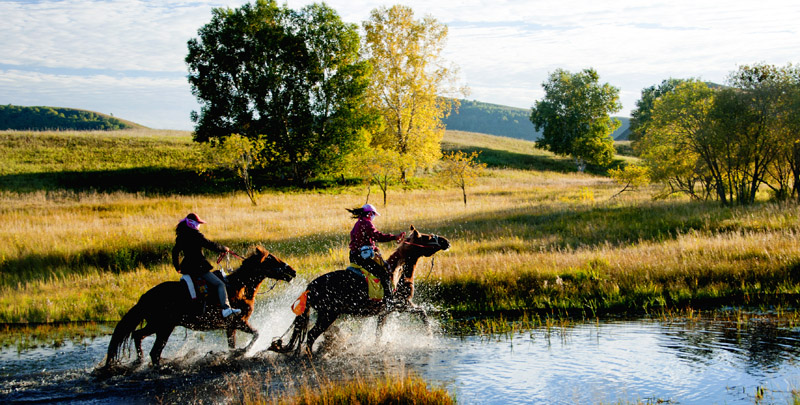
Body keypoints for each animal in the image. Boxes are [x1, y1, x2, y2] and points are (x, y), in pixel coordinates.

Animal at [104, 245, 296, 368]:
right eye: (271, 260)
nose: (292, 271)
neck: (239, 288)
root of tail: (145, 297)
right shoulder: (238, 322)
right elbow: (257, 334)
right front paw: (242, 352)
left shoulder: (230, 326)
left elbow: (233, 344)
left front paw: (233, 354)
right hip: (163, 327)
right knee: (154, 351)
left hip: (157, 326)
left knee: (138, 336)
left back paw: (139, 361)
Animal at [270, 226, 450, 356]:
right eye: (427, 237)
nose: (446, 241)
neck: (397, 272)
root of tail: (310, 287)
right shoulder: (400, 305)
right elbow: (422, 313)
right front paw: (429, 336)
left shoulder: (386, 312)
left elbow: (379, 332)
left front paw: (377, 347)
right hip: (328, 315)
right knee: (311, 335)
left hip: (325, 314)